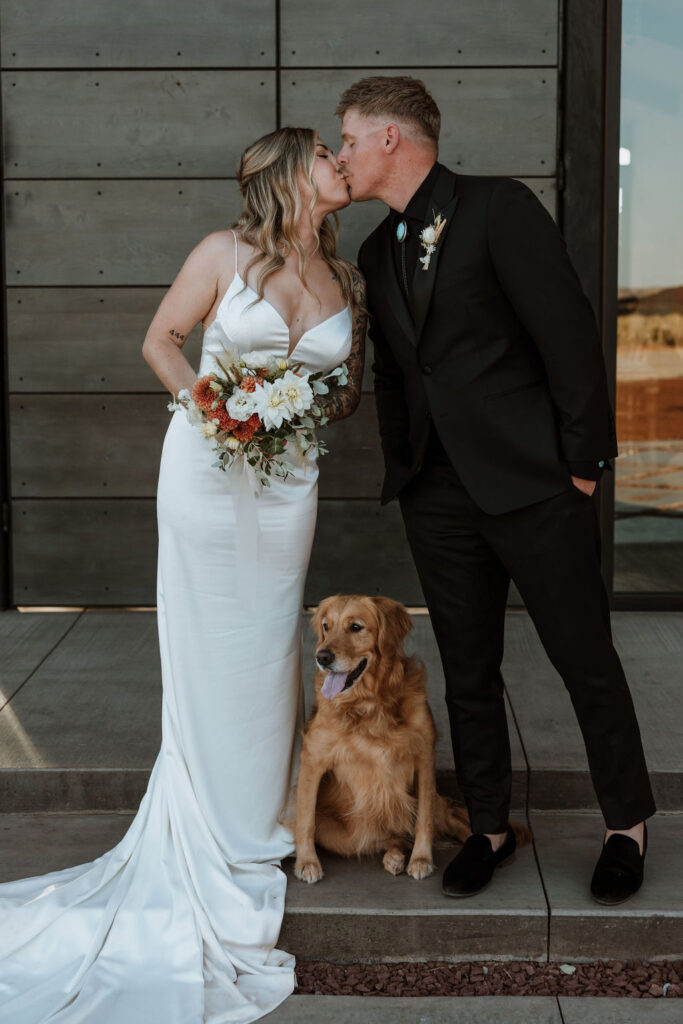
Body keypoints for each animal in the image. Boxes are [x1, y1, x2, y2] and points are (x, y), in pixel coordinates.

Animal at [282, 598, 532, 884]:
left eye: (355, 627)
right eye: (326, 626)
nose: (322, 656)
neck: (370, 703)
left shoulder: (424, 757)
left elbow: (424, 821)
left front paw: (422, 859)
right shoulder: (313, 758)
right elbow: (305, 820)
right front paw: (307, 862)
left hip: (433, 800)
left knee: (448, 824)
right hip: (338, 834)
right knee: (390, 839)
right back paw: (394, 857)